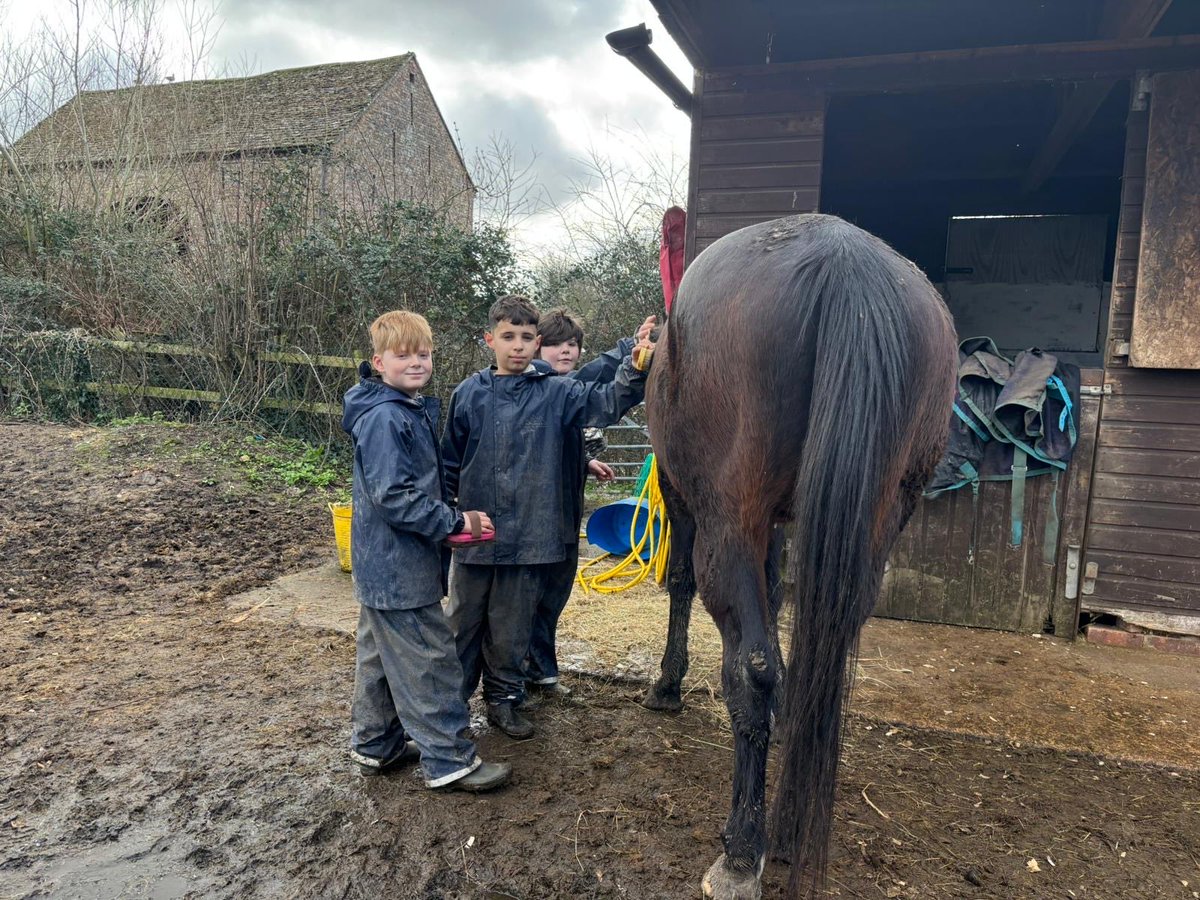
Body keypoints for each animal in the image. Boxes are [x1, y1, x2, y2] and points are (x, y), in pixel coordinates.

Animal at [641, 213, 957, 899]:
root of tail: (848, 266)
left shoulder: (686, 500)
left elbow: (679, 586)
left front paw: (667, 684)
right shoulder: (783, 524)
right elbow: (781, 594)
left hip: (729, 524)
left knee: (754, 667)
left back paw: (744, 850)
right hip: (880, 517)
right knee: (825, 650)